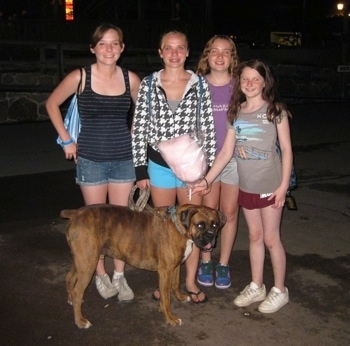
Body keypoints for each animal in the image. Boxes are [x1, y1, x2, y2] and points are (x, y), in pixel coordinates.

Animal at [60, 204, 226, 328]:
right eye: (200, 225)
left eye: (215, 225)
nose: (210, 235)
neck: (179, 226)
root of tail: (76, 213)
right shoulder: (165, 271)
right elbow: (166, 299)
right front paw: (170, 318)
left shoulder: (176, 266)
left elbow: (176, 283)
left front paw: (180, 297)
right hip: (88, 263)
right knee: (78, 291)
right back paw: (80, 321)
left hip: (82, 261)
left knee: (69, 278)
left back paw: (70, 299)